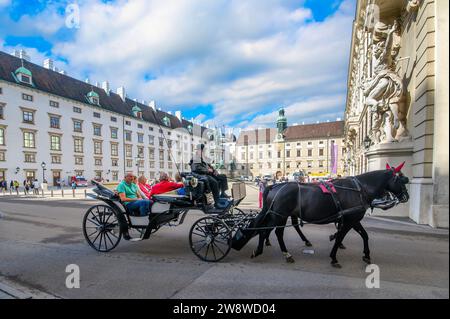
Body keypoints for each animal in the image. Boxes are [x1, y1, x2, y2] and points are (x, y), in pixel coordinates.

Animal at [237, 164, 410, 268]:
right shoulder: (349, 221)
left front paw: (366, 255)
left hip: (280, 215)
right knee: (268, 231)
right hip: (279, 215)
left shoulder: (353, 220)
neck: (359, 189)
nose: (406, 197)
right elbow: (340, 237)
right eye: (402, 180)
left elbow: (364, 235)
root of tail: (275, 186)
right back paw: (272, 251)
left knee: (273, 231)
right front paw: (334, 257)